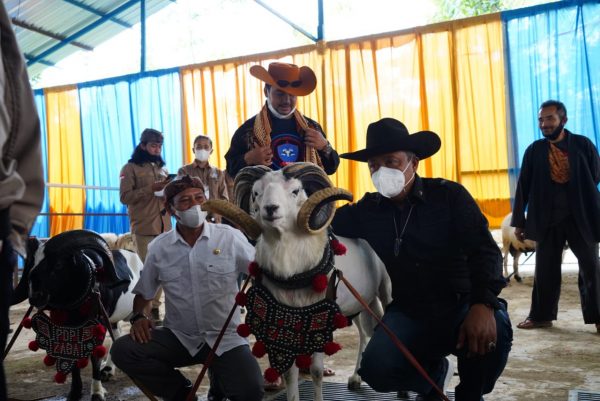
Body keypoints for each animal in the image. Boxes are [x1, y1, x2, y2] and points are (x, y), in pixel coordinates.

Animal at [205, 162, 394, 400]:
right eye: (257, 193)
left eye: (295, 191)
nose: (270, 209)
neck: (292, 272)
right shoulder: (288, 326)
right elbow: (290, 375)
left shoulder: (322, 324)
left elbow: (316, 372)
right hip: (357, 306)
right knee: (364, 334)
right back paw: (354, 379)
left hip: (384, 292)